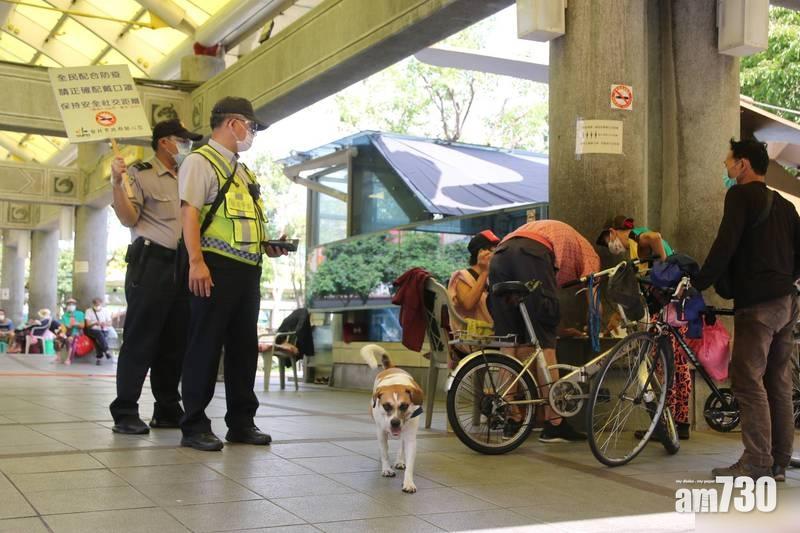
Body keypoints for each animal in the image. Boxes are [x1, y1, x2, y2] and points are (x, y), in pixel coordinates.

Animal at [360, 344, 423, 493]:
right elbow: (384, 452)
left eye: (404, 406)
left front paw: (408, 482)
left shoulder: (410, 437)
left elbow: (409, 459)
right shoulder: (381, 432)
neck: (396, 383)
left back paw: (400, 461)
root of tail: (391, 367)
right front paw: (386, 468)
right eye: (386, 406)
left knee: (401, 445)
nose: (395, 422)